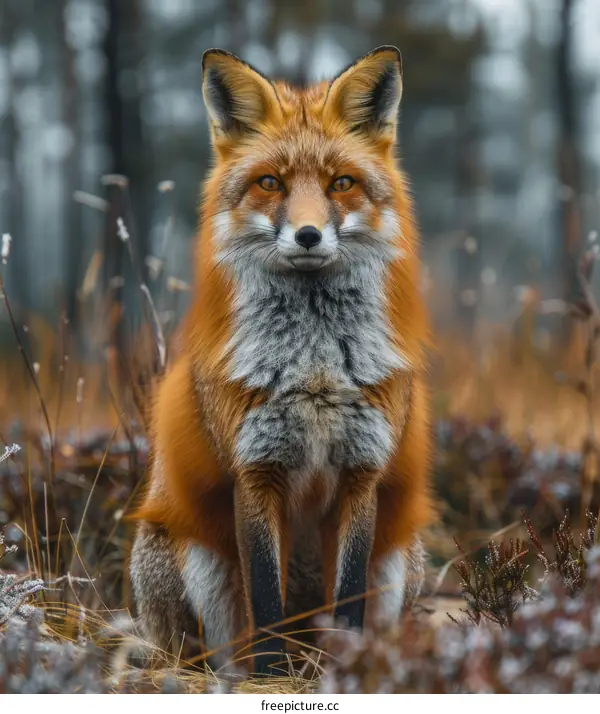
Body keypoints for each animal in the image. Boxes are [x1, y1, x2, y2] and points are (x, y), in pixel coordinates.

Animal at [130, 45, 434, 676]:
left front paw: (347, 667)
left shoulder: (361, 473)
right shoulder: (255, 470)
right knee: (215, 653)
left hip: (398, 560)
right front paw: (271, 676)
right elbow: (267, 600)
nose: (309, 235)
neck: (314, 370)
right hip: (196, 563)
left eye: (341, 183)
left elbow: (347, 600)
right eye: (270, 183)